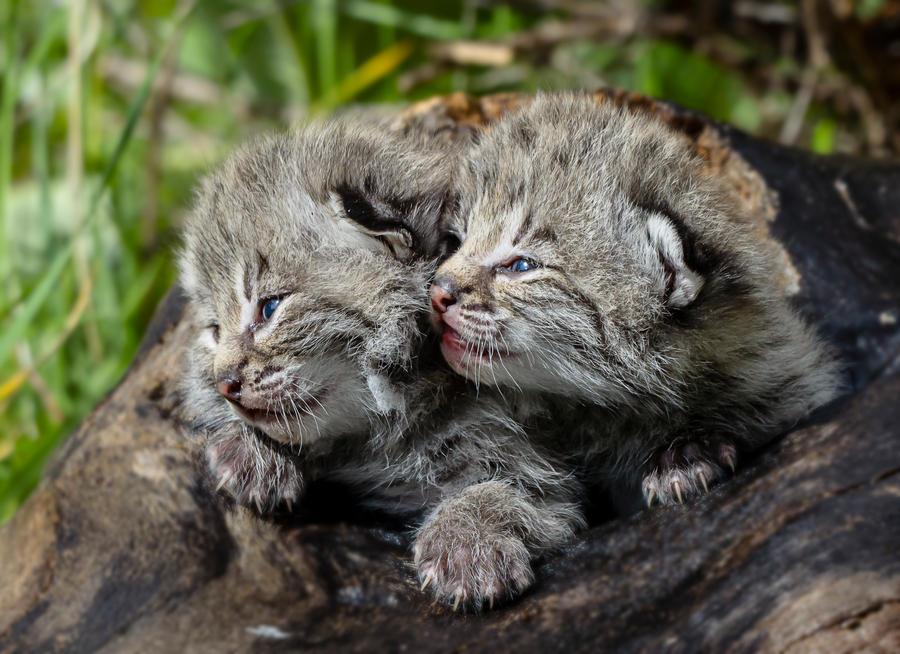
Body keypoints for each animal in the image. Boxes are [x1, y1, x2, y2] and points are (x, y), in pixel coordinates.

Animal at [177, 120, 584, 612]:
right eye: (214, 331)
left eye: (270, 307)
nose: (226, 385)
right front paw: (251, 450)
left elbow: (525, 483)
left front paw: (468, 542)